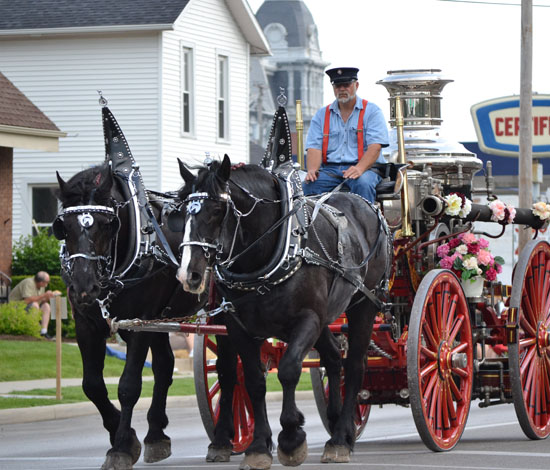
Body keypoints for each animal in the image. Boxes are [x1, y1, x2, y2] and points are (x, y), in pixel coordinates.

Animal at [54, 162, 199, 470]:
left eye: (107, 224)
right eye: (64, 228)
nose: (84, 287)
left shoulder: (139, 323)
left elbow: (129, 385)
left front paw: (120, 447)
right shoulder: (88, 324)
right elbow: (92, 385)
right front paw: (126, 435)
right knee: (165, 365)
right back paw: (156, 433)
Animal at [176, 157, 392, 466]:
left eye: (217, 209)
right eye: (183, 211)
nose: (189, 274)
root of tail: (368, 206)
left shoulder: (307, 319)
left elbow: (289, 369)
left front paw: (290, 438)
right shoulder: (237, 327)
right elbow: (252, 380)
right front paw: (257, 446)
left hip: (364, 304)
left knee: (354, 366)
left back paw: (340, 438)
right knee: (334, 358)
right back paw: (338, 422)